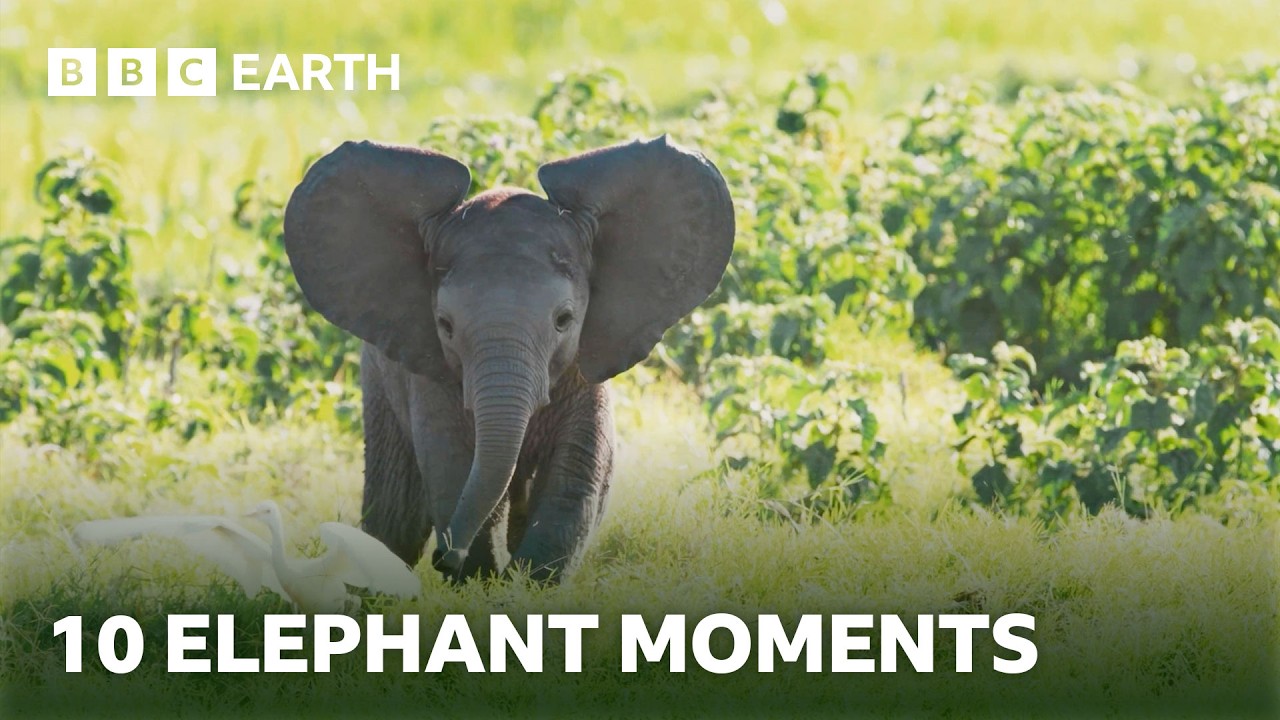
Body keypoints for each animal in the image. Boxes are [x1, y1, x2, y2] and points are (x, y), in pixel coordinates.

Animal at [282, 135, 734, 583]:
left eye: (564, 320)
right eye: (445, 325)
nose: (443, 557)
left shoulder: (584, 374)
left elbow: (577, 480)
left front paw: (526, 585)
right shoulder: (432, 377)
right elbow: (453, 471)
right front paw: (482, 579)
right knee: (397, 514)